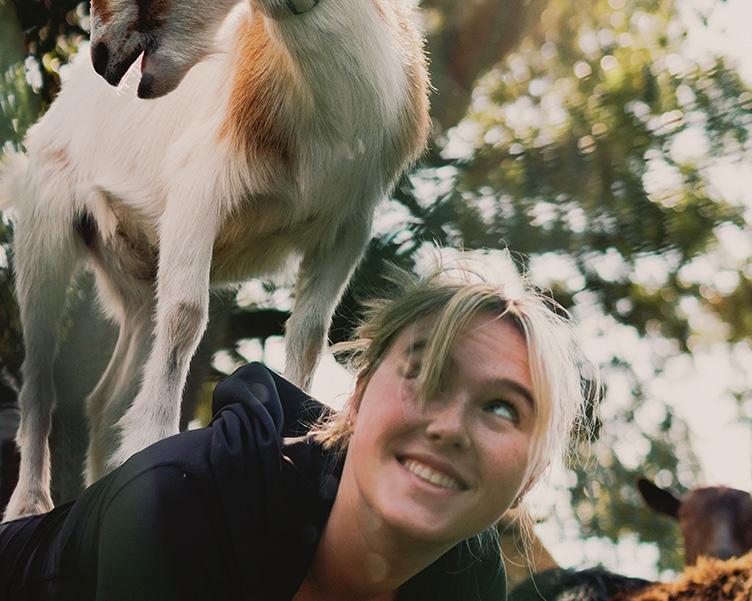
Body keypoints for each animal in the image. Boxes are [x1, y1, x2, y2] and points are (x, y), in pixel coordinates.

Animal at [0, 0, 432, 516]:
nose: (101, 54)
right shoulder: (201, 186)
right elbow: (187, 316)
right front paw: (152, 441)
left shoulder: (348, 226)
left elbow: (308, 335)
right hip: (43, 223)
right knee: (38, 377)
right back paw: (30, 505)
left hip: (138, 277)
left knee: (105, 396)